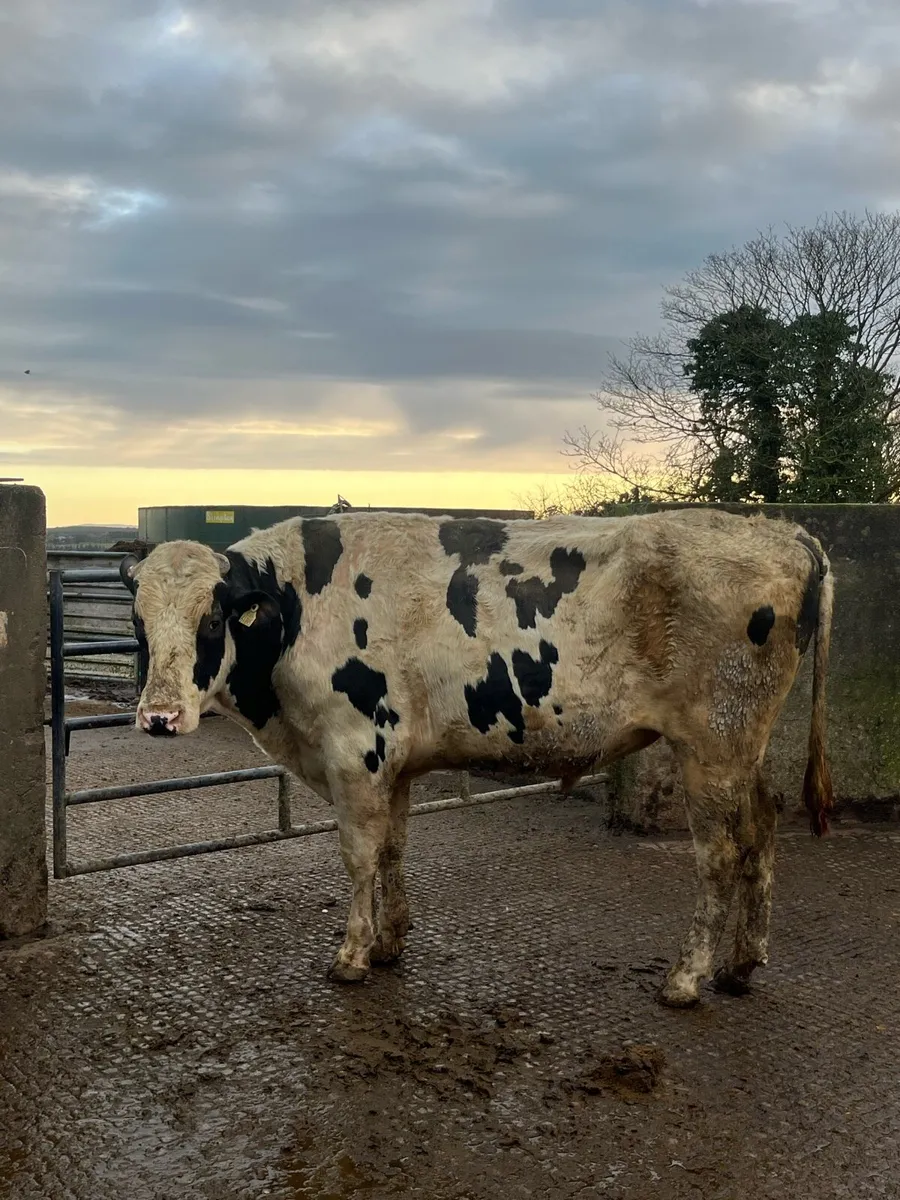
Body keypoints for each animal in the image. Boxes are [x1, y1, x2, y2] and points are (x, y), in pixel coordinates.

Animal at [119, 507, 833, 1008]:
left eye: (213, 619)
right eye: (138, 621)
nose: (159, 717)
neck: (298, 607)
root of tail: (785, 532)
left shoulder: (356, 752)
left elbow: (359, 856)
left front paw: (351, 955)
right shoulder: (393, 761)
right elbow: (393, 848)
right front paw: (389, 942)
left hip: (712, 747)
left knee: (720, 855)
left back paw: (687, 978)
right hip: (743, 748)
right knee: (763, 830)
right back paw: (741, 965)